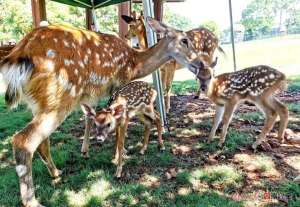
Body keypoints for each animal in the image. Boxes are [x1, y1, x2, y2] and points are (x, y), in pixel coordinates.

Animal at [0, 17, 203, 207]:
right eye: (185, 40)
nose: (200, 64)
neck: (135, 63)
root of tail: (18, 55)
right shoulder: (119, 81)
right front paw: (118, 154)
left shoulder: (92, 94)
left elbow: (90, 116)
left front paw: (86, 151)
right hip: (60, 96)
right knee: (23, 140)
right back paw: (33, 200)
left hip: (38, 102)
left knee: (42, 140)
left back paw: (56, 172)